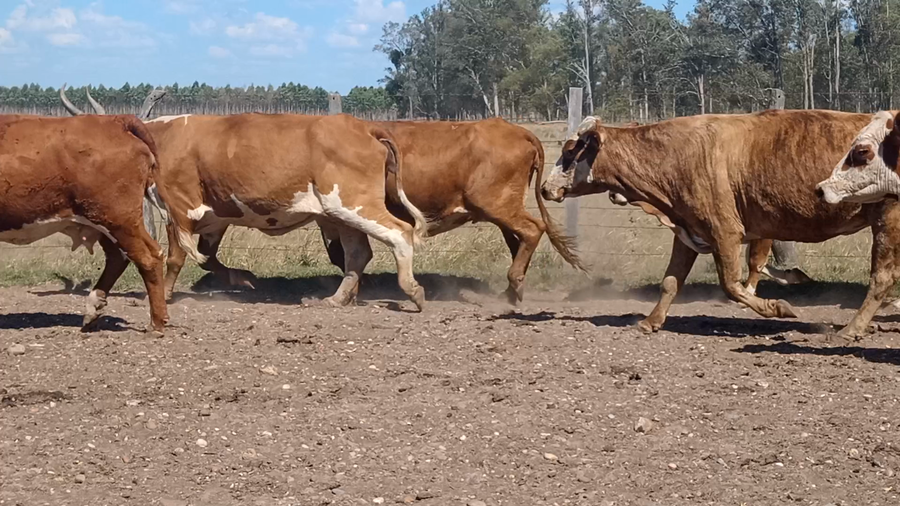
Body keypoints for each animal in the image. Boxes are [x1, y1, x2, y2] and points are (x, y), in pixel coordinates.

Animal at [0, 114, 168, 332]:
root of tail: (116, 120)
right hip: (108, 223)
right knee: (119, 257)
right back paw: (93, 308)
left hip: (119, 219)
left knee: (149, 258)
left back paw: (156, 323)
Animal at [60, 90, 428, 309]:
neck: (160, 138)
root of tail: (363, 127)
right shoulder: (215, 216)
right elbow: (207, 257)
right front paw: (244, 279)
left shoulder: (179, 208)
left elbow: (177, 257)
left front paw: (165, 294)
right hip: (339, 213)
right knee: (358, 254)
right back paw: (336, 299)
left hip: (353, 204)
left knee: (400, 233)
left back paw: (412, 290)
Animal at [541, 109, 878, 336]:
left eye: (569, 151)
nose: (545, 188)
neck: (677, 154)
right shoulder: (688, 230)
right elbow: (670, 282)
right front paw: (650, 321)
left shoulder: (726, 232)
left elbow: (733, 284)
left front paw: (777, 307)